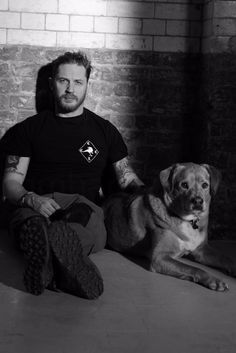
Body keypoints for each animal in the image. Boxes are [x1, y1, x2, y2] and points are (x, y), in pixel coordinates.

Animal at [104, 162, 235, 288]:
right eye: (184, 185)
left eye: (205, 185)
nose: (198, 201)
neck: (187, 220)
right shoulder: (159, 258)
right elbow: (193, 268)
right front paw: (213, 279)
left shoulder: (201, 251)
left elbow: (224, 257)